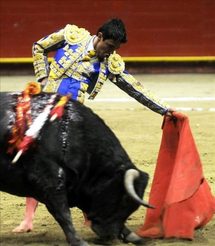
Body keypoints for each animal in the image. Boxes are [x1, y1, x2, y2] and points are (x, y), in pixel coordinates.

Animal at [0, 92, 151, 246]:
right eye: (124, 200)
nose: (111, 236)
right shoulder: (49, 180)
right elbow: (63, 213)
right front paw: (78, 241)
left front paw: (132, 235)